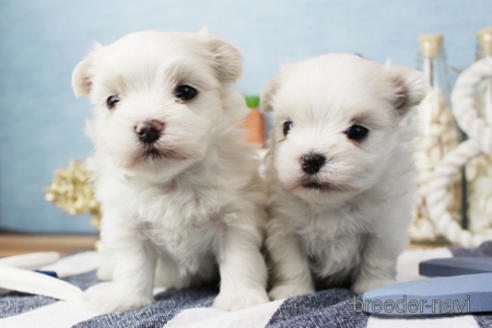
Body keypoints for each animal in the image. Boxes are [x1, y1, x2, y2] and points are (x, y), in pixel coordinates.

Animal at [72, 30, 270, 312]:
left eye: (185, 91)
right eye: (112, 101)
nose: (147, 128)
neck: (172, 181)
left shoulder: (235, 219)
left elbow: (240, 260)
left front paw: (240, 299)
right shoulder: (130, 227)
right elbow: (133, 265)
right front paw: (126, 299)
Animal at [262, 54, 426, 300]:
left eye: (358, 131)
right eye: (287, 127)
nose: (311, 160)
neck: (332, 204)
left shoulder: (384, 227)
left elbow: (377, 259)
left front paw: (375, 286)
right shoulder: (285, 229)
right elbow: (291, 263)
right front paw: (293, 291)